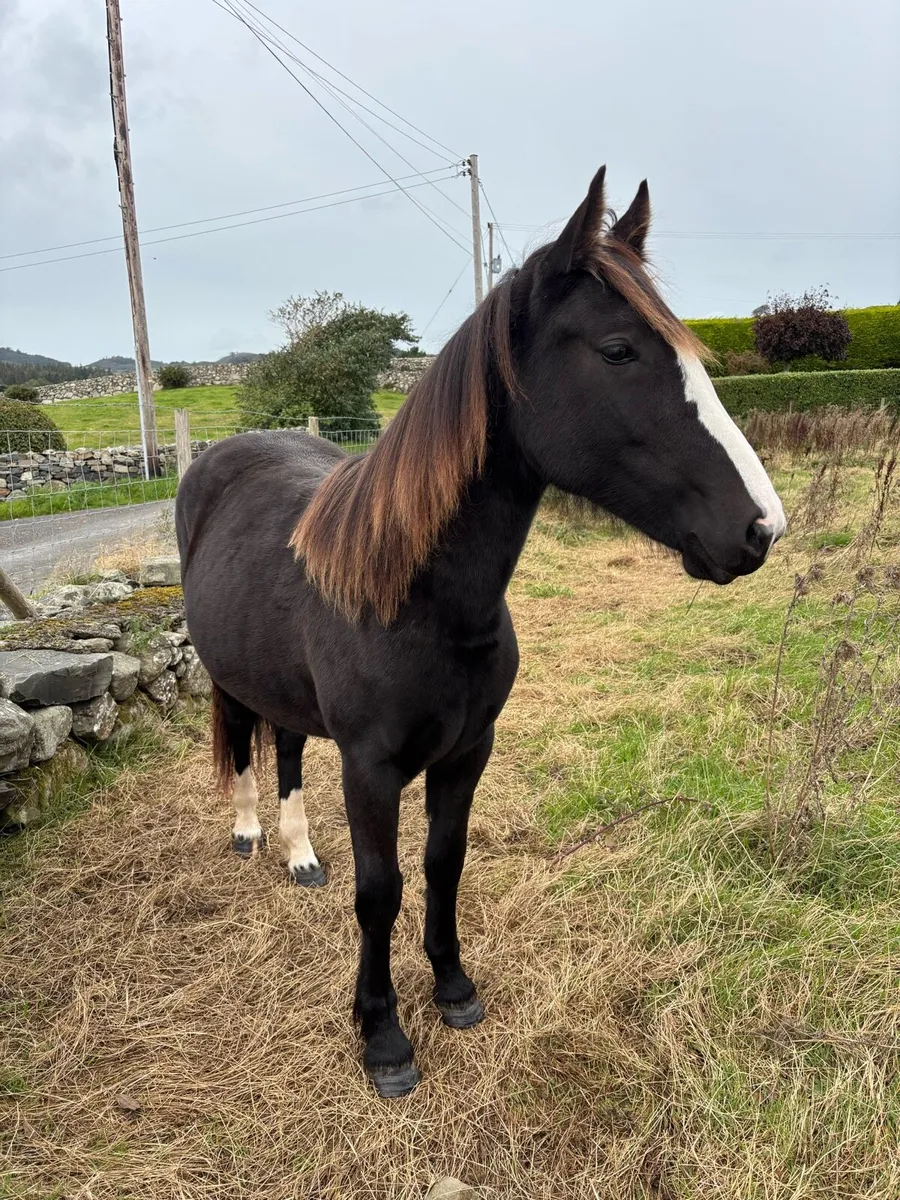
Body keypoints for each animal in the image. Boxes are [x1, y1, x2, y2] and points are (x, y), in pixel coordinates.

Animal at [175, 166, 785, 1098]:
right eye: (619, 349)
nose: (762, 529)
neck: (420, 600)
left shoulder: (468, 753)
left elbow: (443, 863)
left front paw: (453, 986)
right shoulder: (371, 768)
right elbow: (380, 890)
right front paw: (383, 1035)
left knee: (284, 747)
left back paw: (299, 852)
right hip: (227, 672)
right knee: (244, 737)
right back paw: (249, 834)